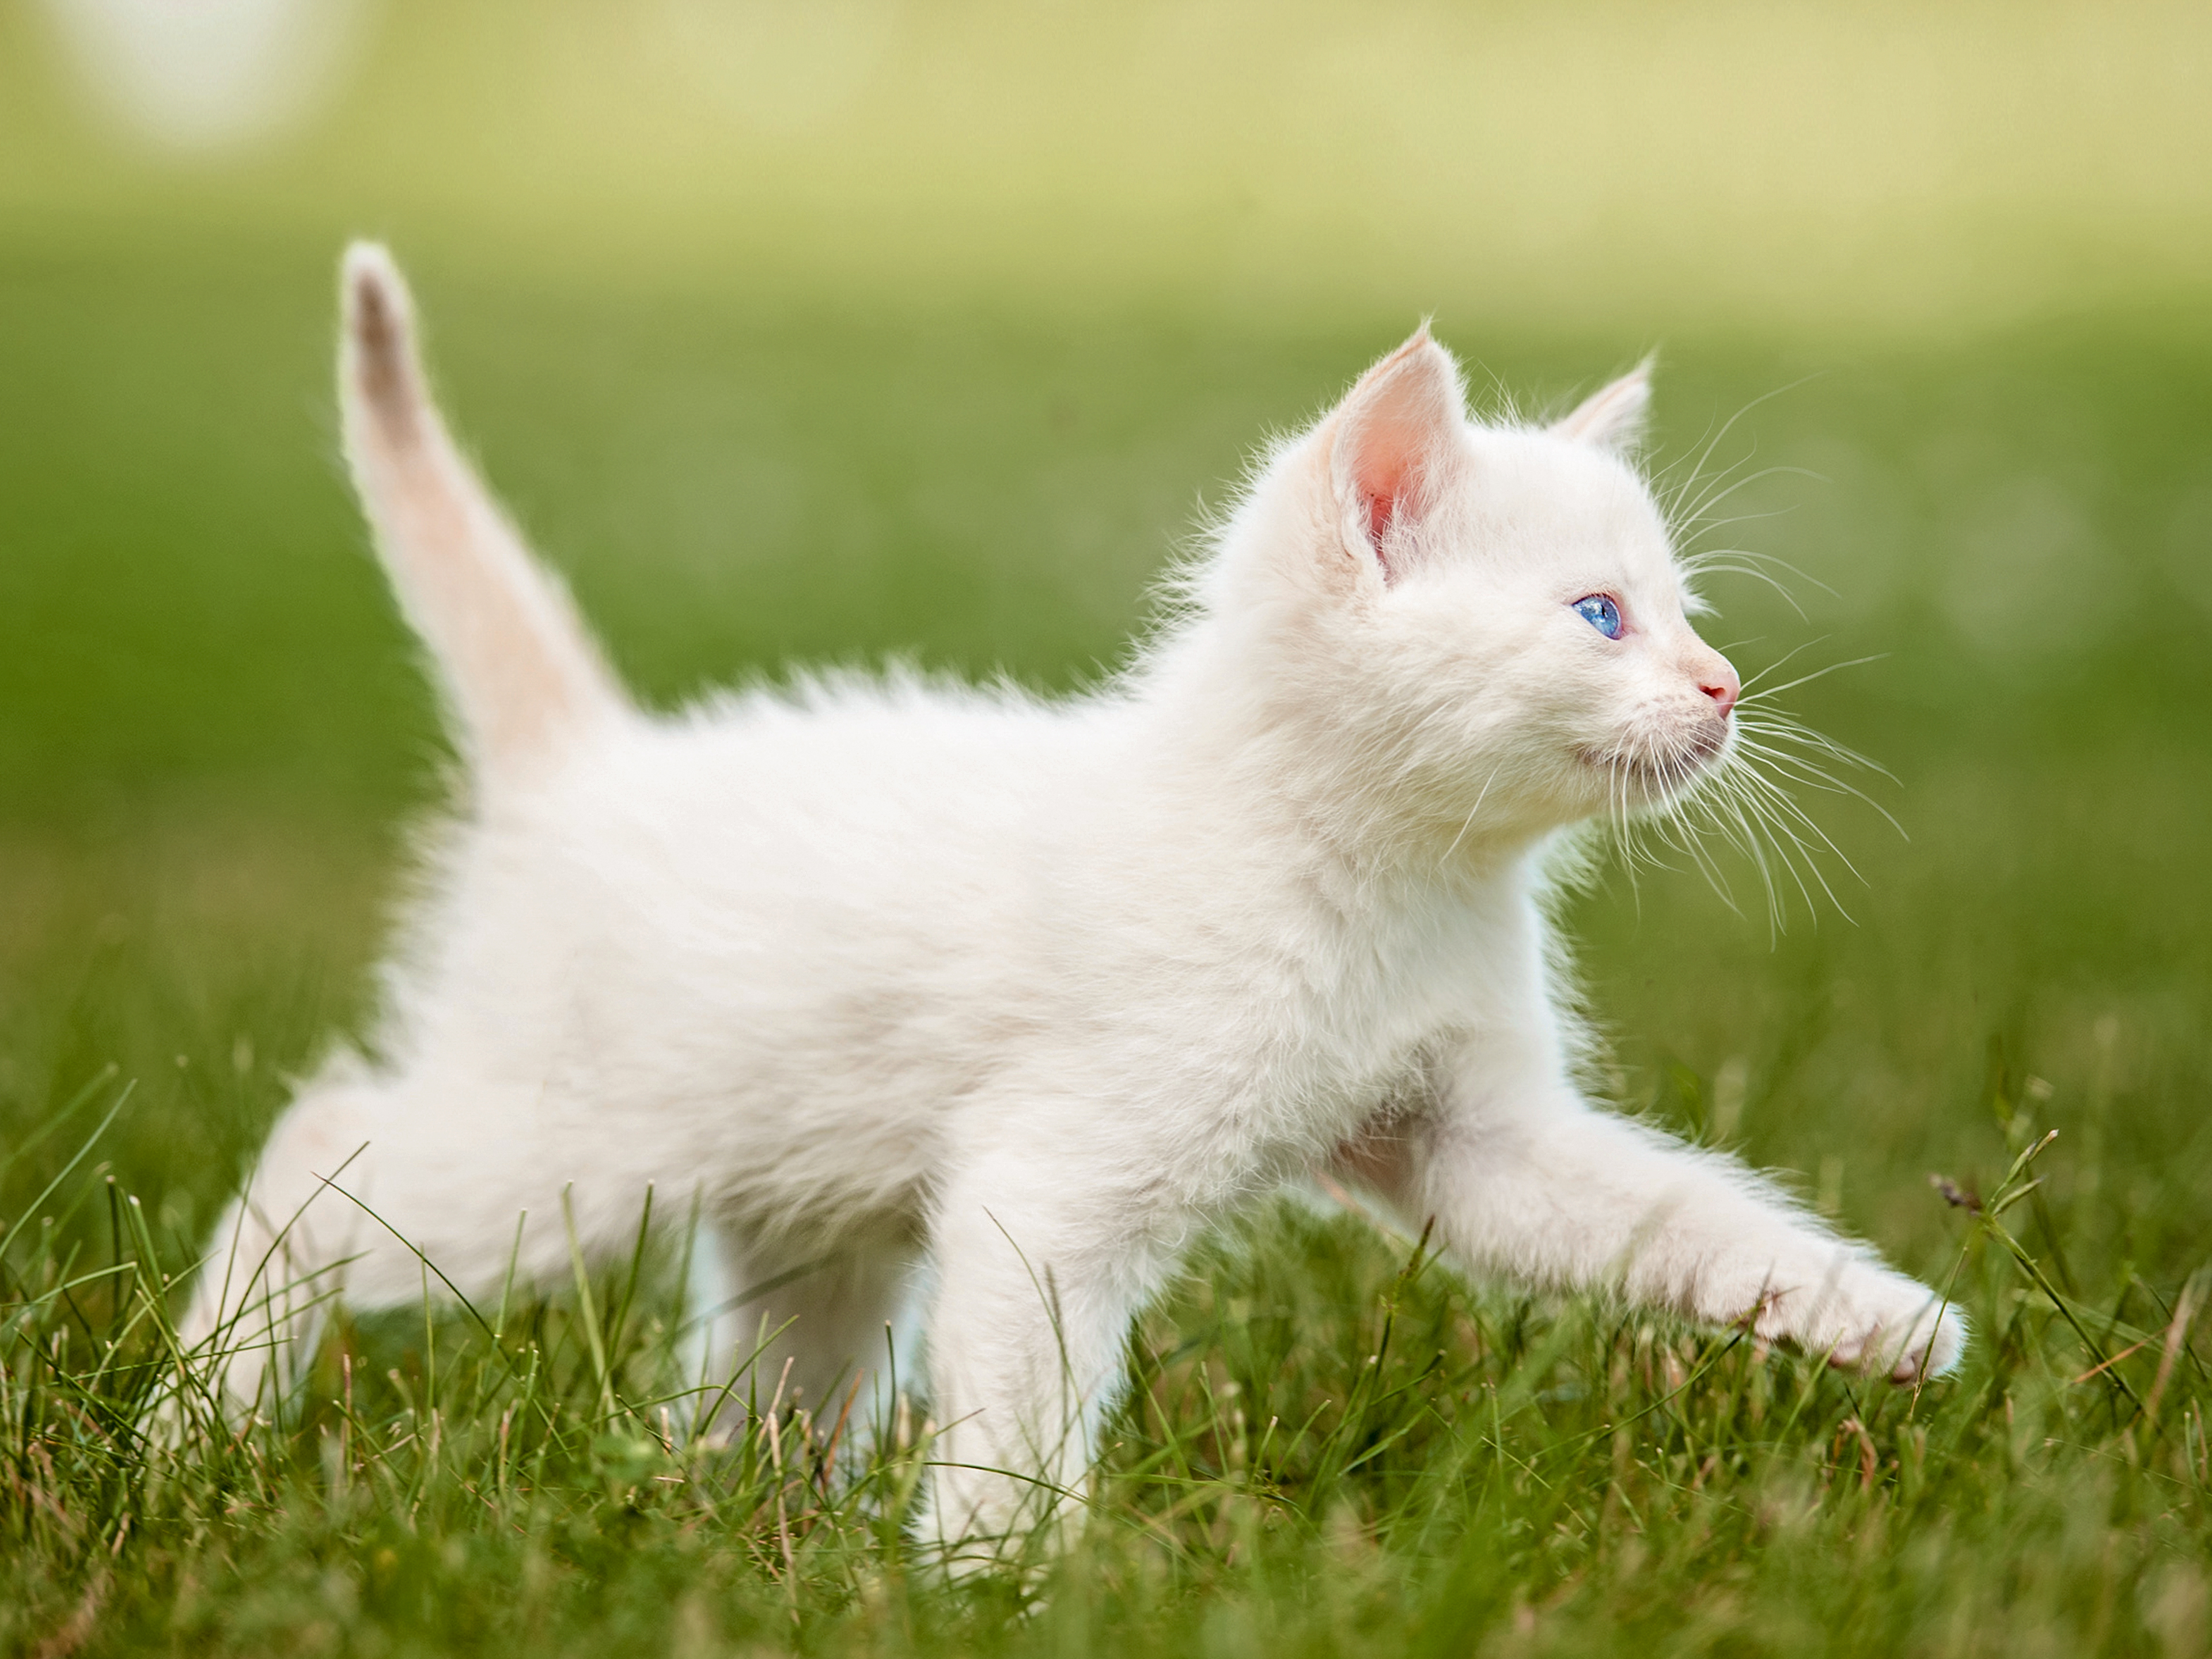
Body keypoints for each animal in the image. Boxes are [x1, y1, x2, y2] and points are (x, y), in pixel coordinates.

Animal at [177, 249, 1973, 1557]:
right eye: (1601, 617)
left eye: (1687, 611)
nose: (1725, 686)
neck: (1388, 874)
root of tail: (589, 769)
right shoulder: (1046, 1188)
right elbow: (1020, 1416)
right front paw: (998, 1578)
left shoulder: (1472, 1142)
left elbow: (1677, 1215)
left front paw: (1877, 1319)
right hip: (569, 1151)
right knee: (318, 1157)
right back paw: (192, 1428)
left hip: (804, 1215)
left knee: (761, 1377)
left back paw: (726, 1524)